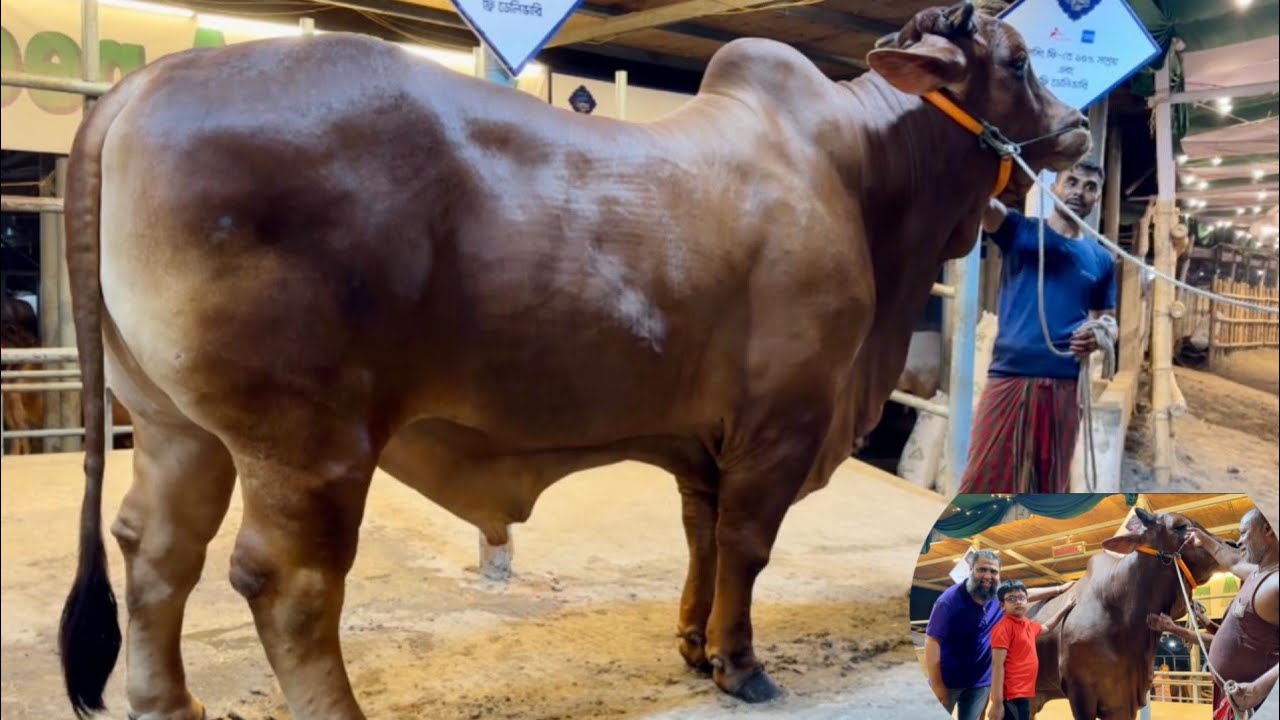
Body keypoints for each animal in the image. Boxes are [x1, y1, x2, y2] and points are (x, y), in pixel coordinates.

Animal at [56, 4, 1090, 719]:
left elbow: (702, 538)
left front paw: (692, 644)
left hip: (174, 424)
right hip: (308, 443)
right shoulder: (780, 424)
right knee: (287, 584)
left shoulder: (704, 441)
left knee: (155, 548)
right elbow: (747, 547)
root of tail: (143, 87)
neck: (862, 176)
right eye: (1017, 60)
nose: (1079, 128)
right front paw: (742, 664)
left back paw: (169, 701)